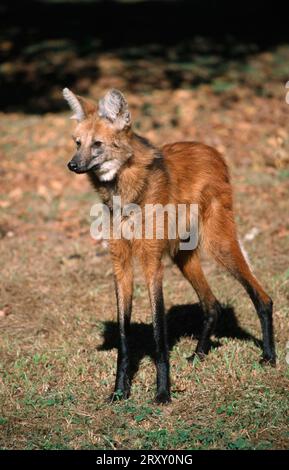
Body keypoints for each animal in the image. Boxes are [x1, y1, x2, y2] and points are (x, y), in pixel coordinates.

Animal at [62, 89, 274, 404]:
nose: (72, 165)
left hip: (218, 245)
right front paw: (120, 391)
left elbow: (158, 332)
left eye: (97, 144)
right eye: (77, 143)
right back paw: (199, 354)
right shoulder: (121, 263)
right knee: (212, 304)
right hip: (181, 255)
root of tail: (212, 150)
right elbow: (124, 336)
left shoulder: (152, 262)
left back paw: (269, 356)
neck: (124, 192)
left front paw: (162, 392)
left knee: (262, 297)